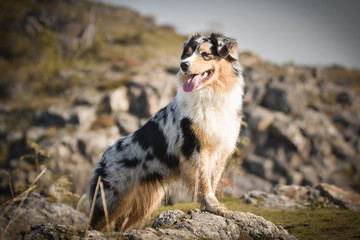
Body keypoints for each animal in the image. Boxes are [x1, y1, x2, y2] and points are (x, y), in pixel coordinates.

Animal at [87, 32, 245, 231]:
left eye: (205, 54)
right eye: (187, 53)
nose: (183, 64)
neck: (211, 95)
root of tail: (104, 155)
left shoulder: (221, 149)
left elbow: (212, 180)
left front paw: (210, 206)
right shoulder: (195, 148)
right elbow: (203, 181)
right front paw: (213, 206)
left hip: (143, 203)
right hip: (110, 198)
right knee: (94, 223)